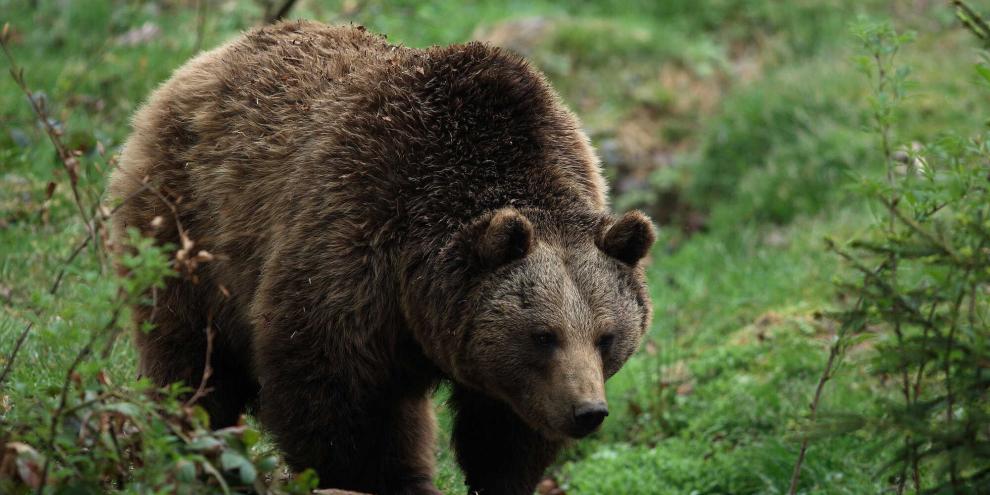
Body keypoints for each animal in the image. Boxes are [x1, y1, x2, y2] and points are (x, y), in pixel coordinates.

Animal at [109, 21, 655, 495]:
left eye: (607, 336)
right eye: (544, 335)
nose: (588, 411)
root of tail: (207, 60)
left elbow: (505, 429)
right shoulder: (354, 242)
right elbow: (332, 395)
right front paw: (375, 479)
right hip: (189, 227)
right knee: (192, 361)